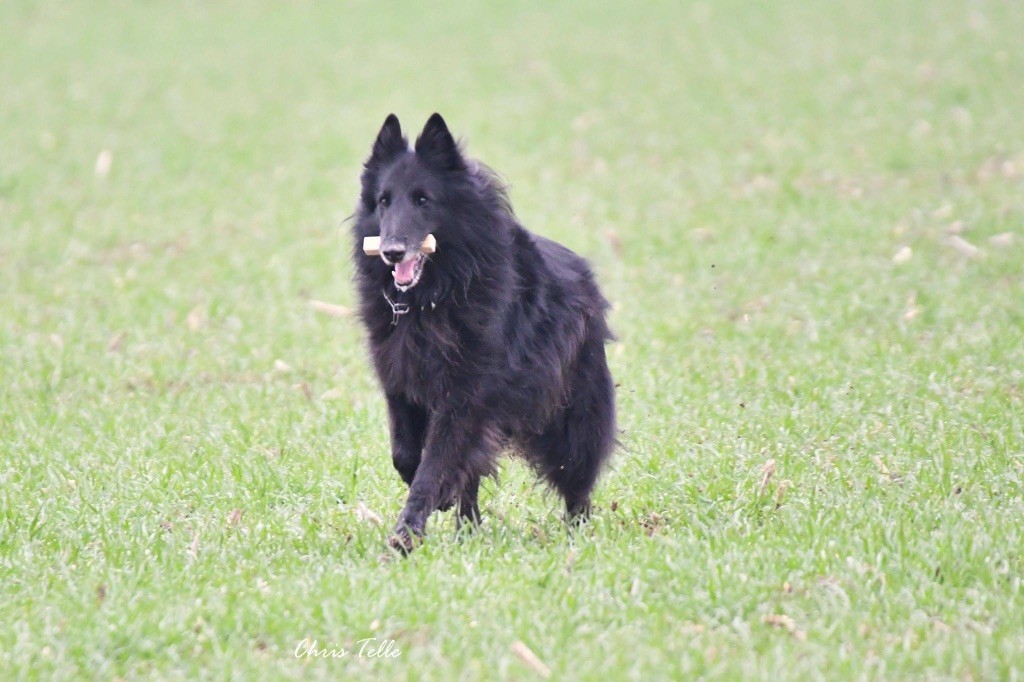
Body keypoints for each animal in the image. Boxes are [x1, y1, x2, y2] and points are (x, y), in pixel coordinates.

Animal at [350, 111, 614, 548]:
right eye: (383, 201)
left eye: (423, 199)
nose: (391, 252)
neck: (433, 298)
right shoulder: (400, 385)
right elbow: (407, 456)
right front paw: (437, 501)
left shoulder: (464, 397)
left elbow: (433, 465)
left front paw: (407, 533)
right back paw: (467, 528)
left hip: (569, 418)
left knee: (577, 477)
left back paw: (577, 531)